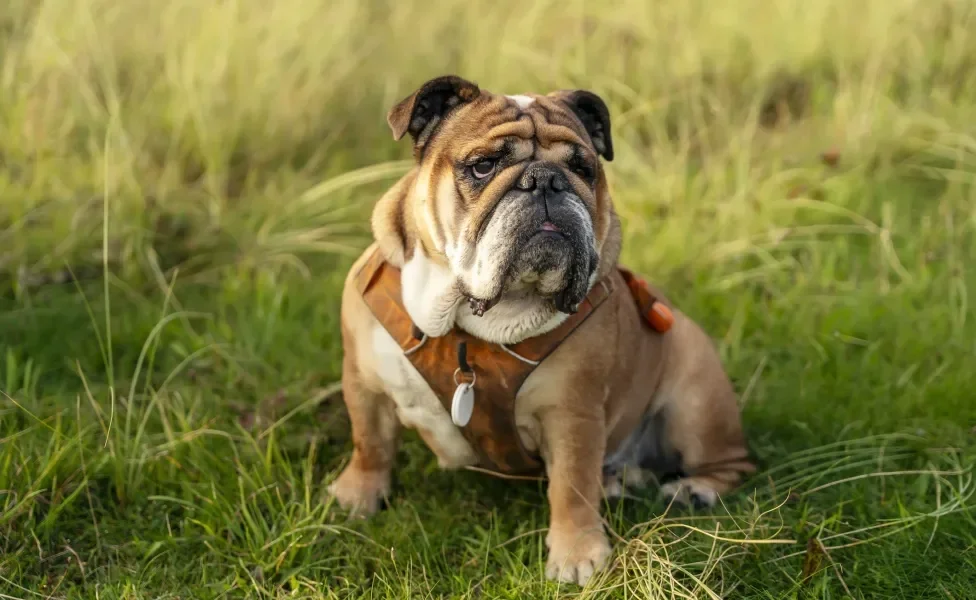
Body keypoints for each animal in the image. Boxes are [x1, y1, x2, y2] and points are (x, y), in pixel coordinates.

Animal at [328, 75, 756, 584]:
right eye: (484, 166)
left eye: (583, 168)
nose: (547, 181)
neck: (465, 326)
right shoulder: (364, 382)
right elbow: (369, 442)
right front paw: (357, 497)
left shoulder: (571, 413)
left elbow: (571, 486)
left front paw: (577, 555)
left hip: (697, 399)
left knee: (733, 461)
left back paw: (695, 488)